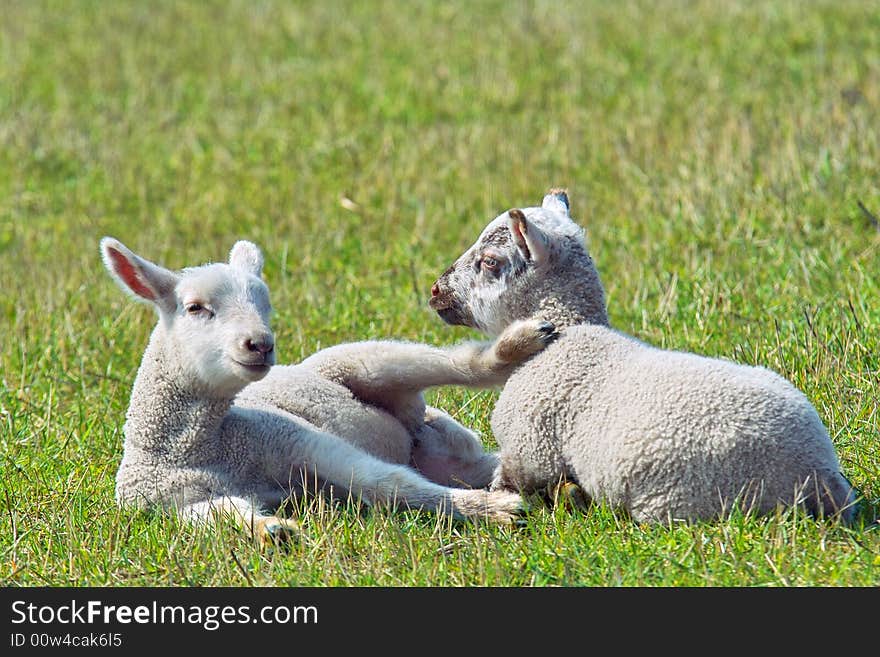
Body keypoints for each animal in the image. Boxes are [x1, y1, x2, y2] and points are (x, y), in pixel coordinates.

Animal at [101, 236, 556, 544]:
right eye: (195, 308)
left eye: (265, 305)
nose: (261, 344)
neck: (197, 449)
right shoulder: (169, 506)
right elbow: (221, 515)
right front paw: (271, 530)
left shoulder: (293, 437)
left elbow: (385, 481)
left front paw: (493, 510)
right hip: (442, 454)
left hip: (361, 362)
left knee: (457, 365)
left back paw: (519, 344)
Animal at [430, 188, 856, 524]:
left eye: (490, 261)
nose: (435, 291)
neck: (567, 335)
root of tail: (819, 477)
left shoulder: (529, 450)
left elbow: (510, 483)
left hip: (679, 499)